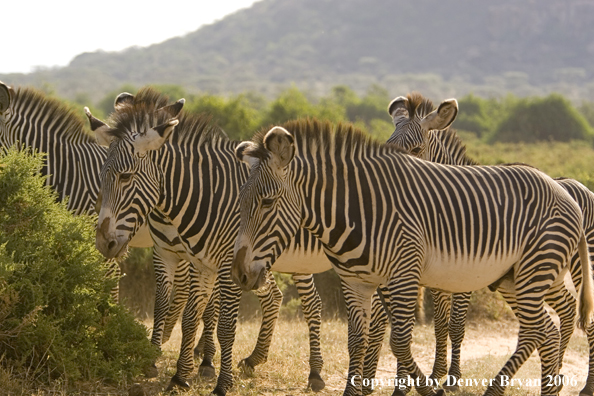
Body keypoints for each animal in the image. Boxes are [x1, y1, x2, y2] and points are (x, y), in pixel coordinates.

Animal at [230, 120, 592, 396]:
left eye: (267, 202)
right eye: (241, 200)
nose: (241, 274)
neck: (358, 211)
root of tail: (564, 190)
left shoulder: (403, 274)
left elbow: (401, 342)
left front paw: (431, 389)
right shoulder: (355, 282)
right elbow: (356, 341)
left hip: (534, 272)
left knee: (541, 329)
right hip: (517, 277)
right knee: (546, 329)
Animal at [386, 92, 594, 396]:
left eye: (416, 149)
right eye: (387, 145)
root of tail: (581, 186)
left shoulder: (464, 273)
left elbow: (456, 325)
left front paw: (452, 378)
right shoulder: (438, 277)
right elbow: (439, 325)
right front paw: (433, 376)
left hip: (579, 266)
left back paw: (586, 385)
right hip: (548, 273)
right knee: (566, 310)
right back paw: (557, 373)